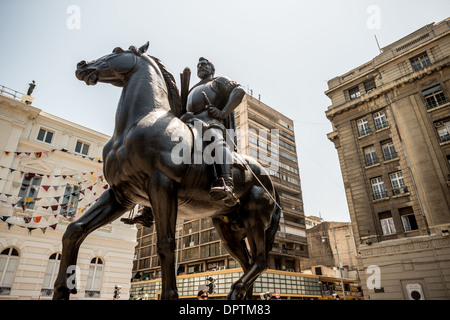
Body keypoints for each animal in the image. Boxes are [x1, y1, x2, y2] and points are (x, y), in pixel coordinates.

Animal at [51, 42, 278, 300]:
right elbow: (74, 230)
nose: (83, 66)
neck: (140, 121)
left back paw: (234, 289)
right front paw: (61, 288)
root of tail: (269, 181)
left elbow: (166, 243)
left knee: (260, 261)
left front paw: (170, 295)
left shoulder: (162, 185)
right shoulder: (121, 194)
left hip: (254, 219)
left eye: (117, 50)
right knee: (247, 263)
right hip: (227, 227)